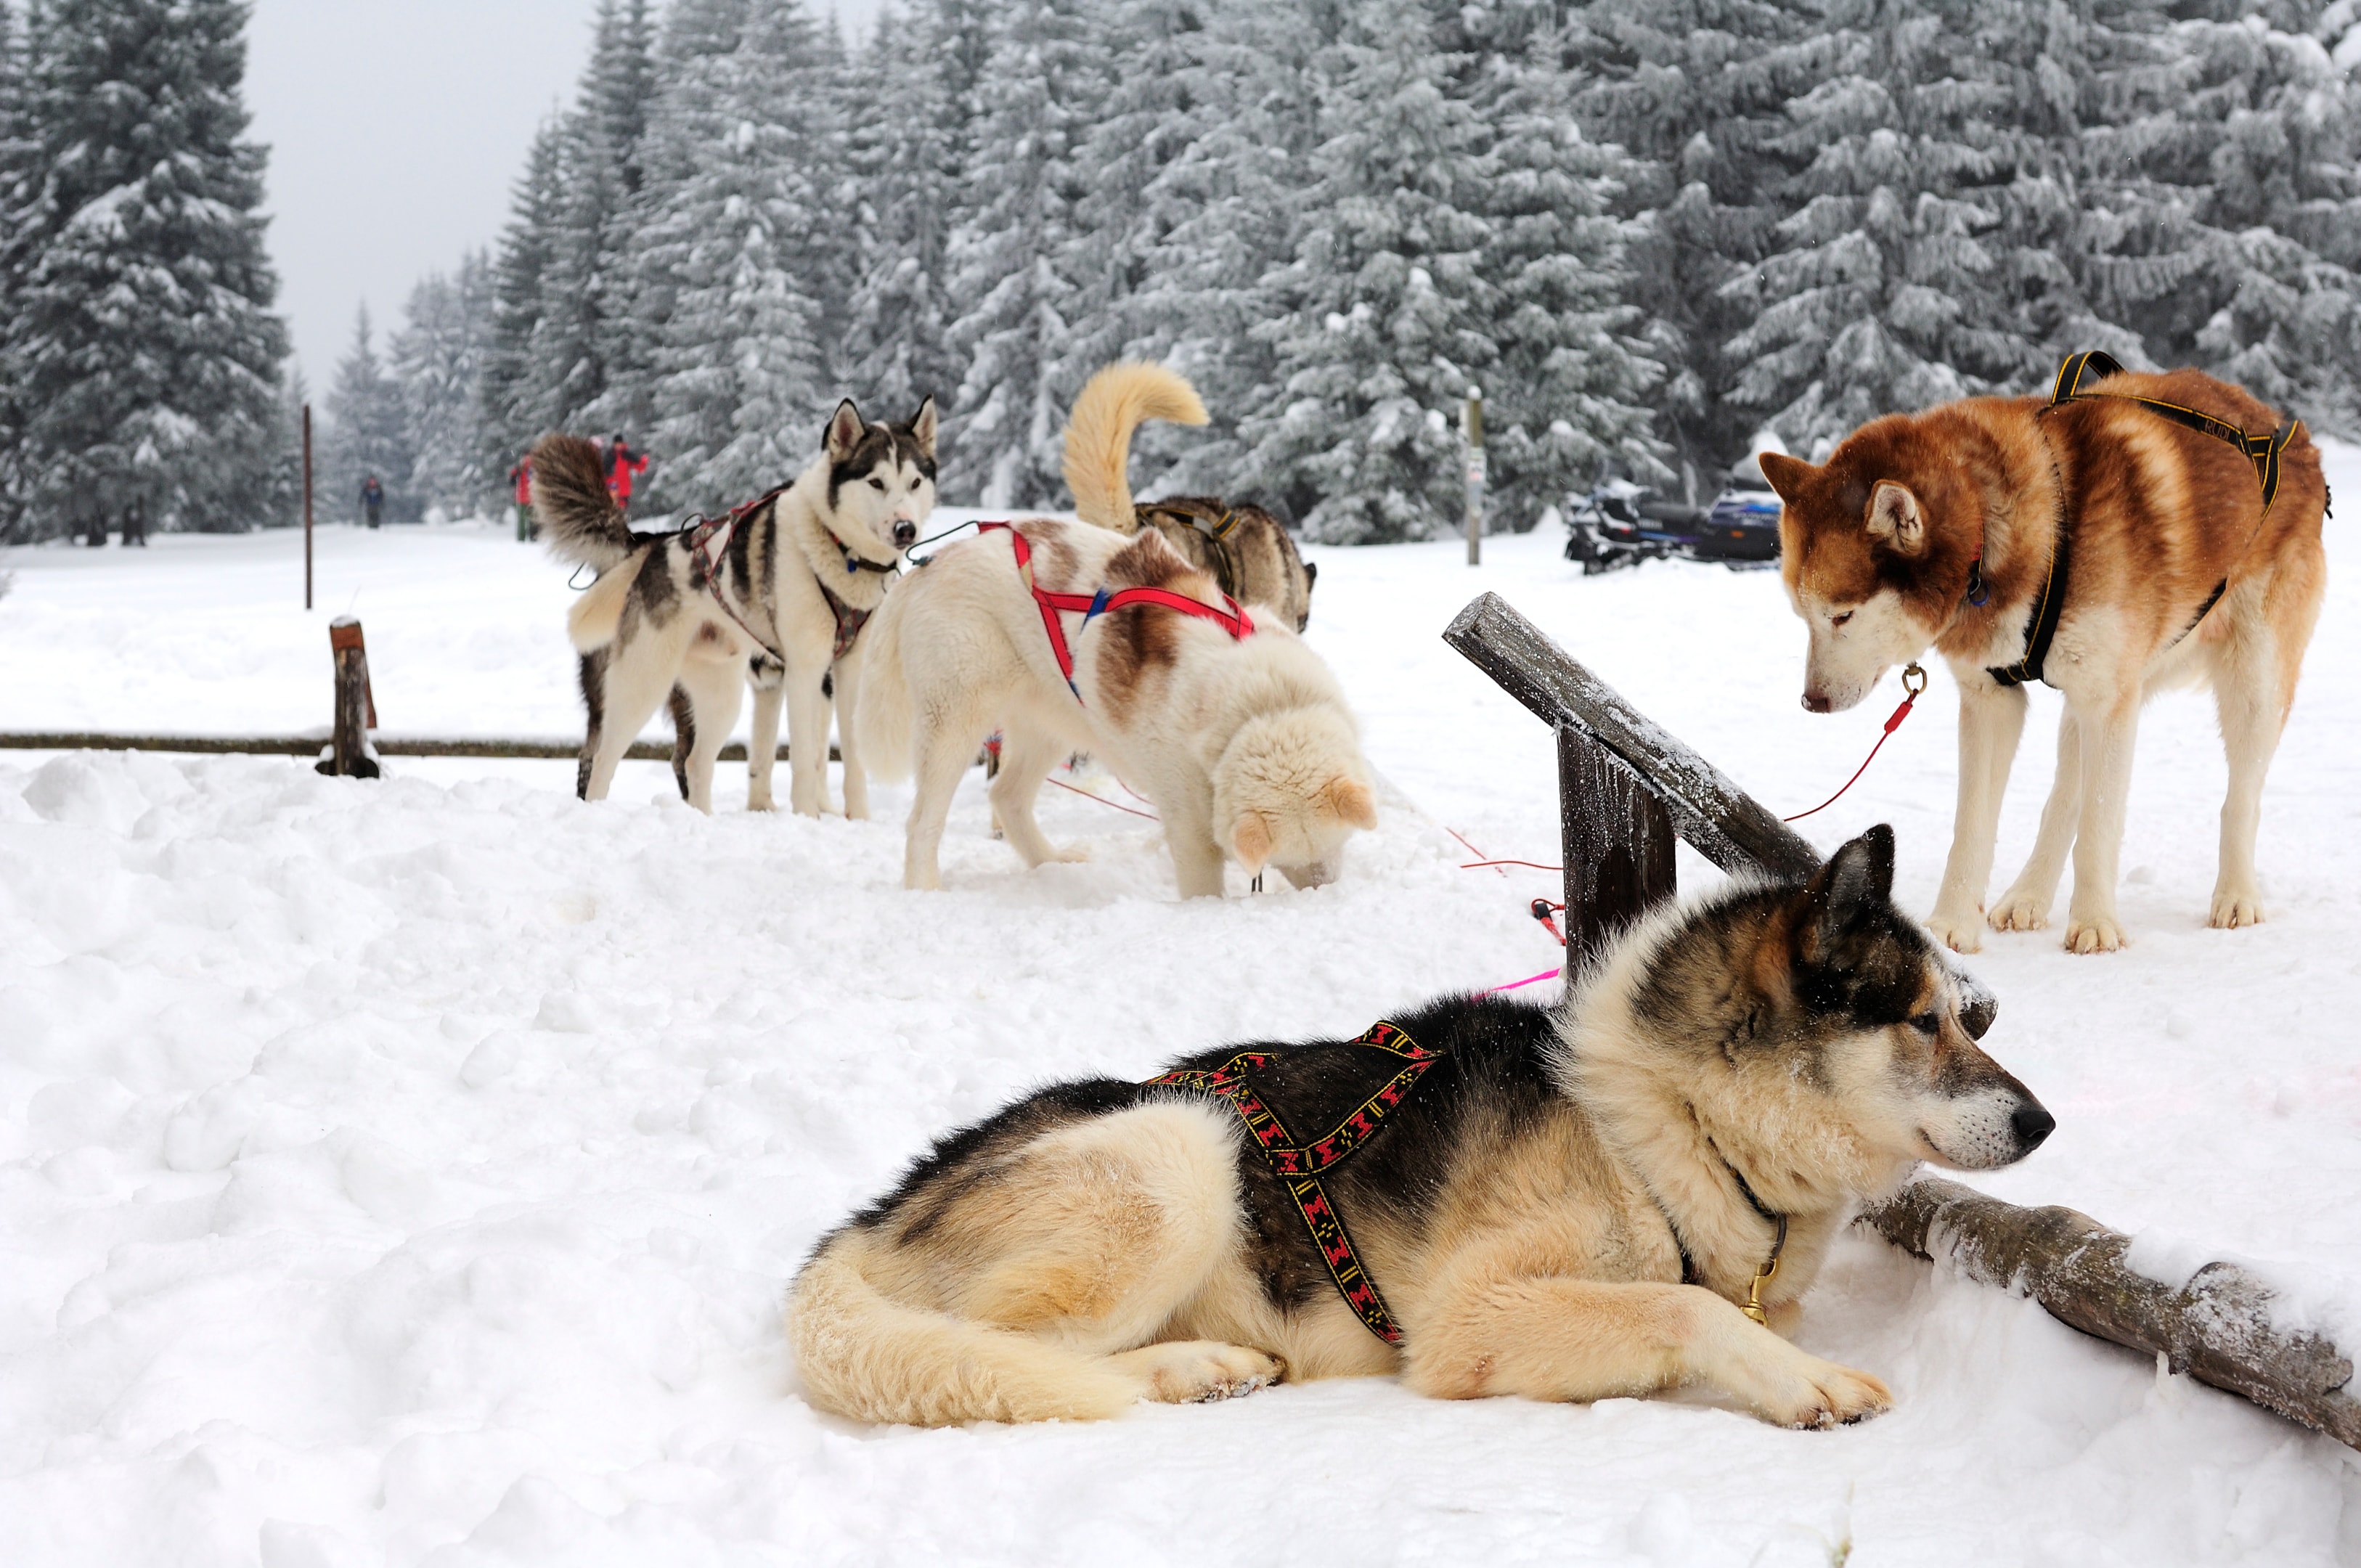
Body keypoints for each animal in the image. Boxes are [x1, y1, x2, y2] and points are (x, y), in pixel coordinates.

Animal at [540, 401, 934, 822]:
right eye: (876, 482)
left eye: (914, 483)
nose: (905, 528)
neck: (840, 550)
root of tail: (653, 547)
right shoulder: (805, 669)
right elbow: (805, 757)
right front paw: (807, 817)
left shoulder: (846, 671)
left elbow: (849, 757)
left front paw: (857, 820)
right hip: (641, 683)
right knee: (602, 759)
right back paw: (597, 811)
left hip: (720, 693)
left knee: (695, 762)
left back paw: (702, 819)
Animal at [793, 831, 2049, 1435]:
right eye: (1927, 1021)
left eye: (1970, 1014)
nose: (2040, 1119)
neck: (1666, 1125)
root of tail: (863, 1225)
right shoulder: (1470, 1322)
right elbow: (1681, 1306)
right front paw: (1807, 1383)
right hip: (1179, 1157)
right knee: (1011, 1355)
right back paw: (1191, 1366)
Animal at [1775, 359, 2323, 954]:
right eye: (1800, 614)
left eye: (1842, 615)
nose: (1810, 701)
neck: (2000, 537)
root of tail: (2289, 432)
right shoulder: (1994, 699)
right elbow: (1973, 826)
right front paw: (1950, 928)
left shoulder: (2108, 704)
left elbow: (2101, 824)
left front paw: (2097, 924)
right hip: (2093, 696)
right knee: (2064, 799)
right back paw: (2029, 895)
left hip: (2250, 685)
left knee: (2239, 797)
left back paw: (2237, 894)